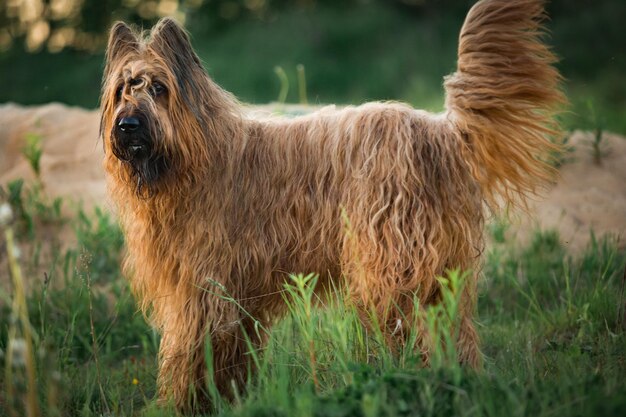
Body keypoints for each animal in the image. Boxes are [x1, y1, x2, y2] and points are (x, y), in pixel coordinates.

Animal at [101, 0, 560, 410]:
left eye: (159, 88)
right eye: (123, 90)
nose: (128, 125)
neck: (191, 160)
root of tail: (440, 133)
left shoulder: (201, 290)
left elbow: (191, 352)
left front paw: (179, 404)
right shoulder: (235, 295)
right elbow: (229, 357)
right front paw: (226, 400)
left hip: (388, 266)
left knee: (411, 332)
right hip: (440, 273)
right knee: (452, 332)